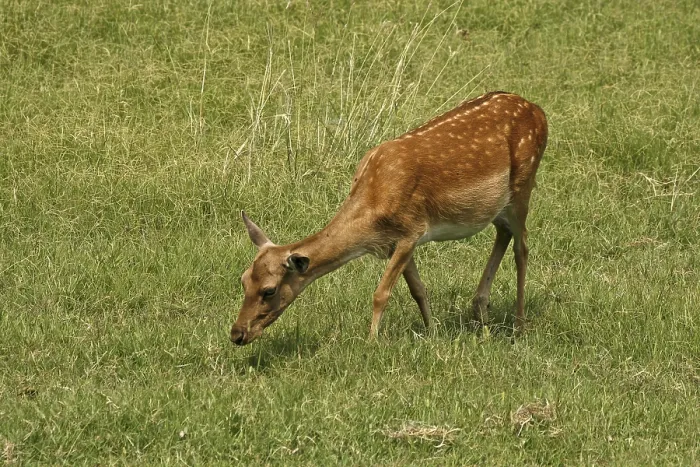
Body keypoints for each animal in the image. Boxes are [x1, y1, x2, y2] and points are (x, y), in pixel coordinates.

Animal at [230, 91, 548, 346]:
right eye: (243, 280)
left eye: (269, 290)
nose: (237, 334)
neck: (372, 209)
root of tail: (539, 112)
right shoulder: (398, 241)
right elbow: (418, 289)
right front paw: (432, 333)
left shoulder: (411, 230)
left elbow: (381, 293)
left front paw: (372, 342)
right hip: (497, 205)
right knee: (504, 233)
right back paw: (481, 310)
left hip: (524, 184)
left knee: (522, 248)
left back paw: (519, 326)